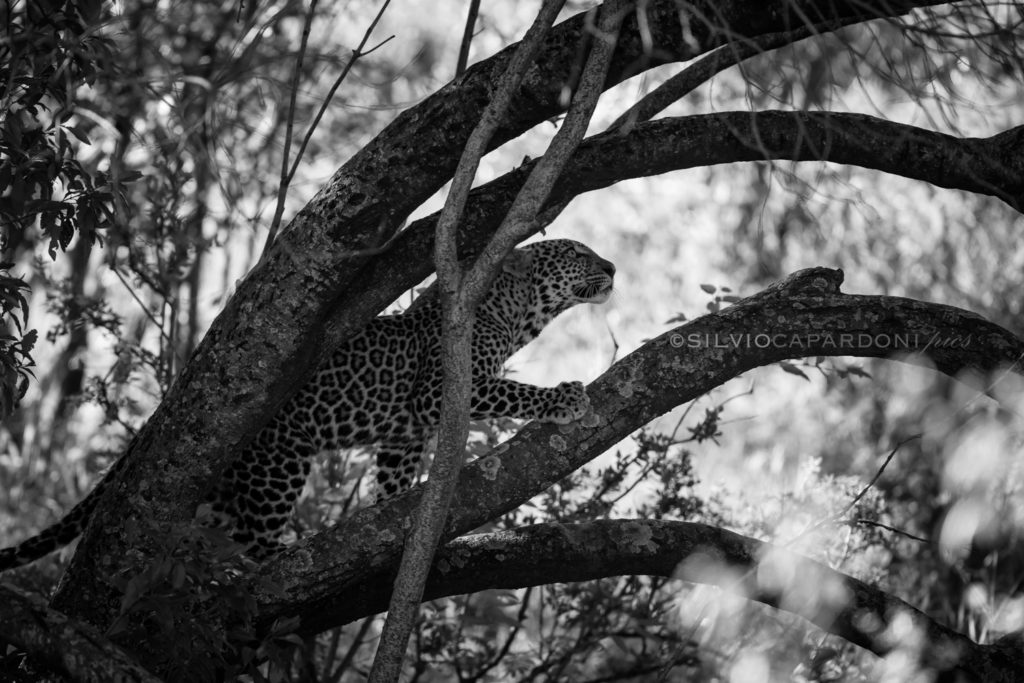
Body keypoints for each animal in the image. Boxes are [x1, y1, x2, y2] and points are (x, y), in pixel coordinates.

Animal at [0, 239, 615, 570]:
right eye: (575, 253)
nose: (612, 268)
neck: (514, 316)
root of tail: (169, 408)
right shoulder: (442, 389)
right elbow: (514, 390)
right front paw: (565, 397)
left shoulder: (404, 434)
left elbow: (393, 479)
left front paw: (389, 516)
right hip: (279, 466)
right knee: (250, 542)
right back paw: (276, 558)